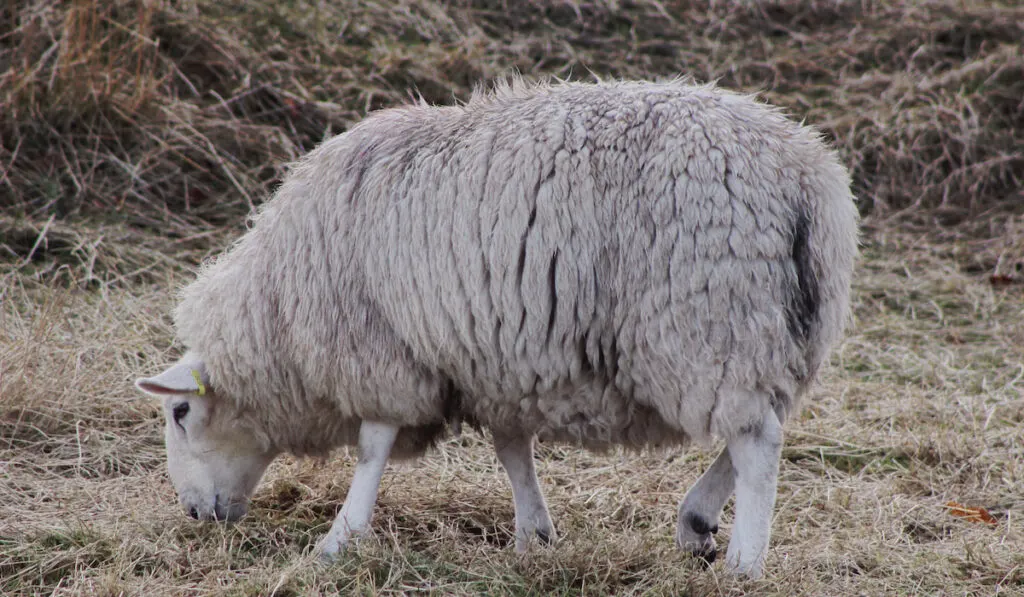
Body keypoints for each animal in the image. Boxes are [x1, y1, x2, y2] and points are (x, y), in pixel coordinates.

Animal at [134, 78, 856, 577]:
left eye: (179, 414)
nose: (195, 514)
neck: (278, 316)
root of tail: (805, 175)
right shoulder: (492, 364)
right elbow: (513, 451)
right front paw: (533, 531)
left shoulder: (379, 350)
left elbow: (372, 448)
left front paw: (341, 536)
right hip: (773, 334)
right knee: (760, 426)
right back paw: (697, 520)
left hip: (709, 321)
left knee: (756, 442)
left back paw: (744, 561)